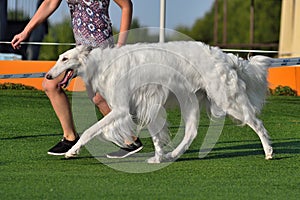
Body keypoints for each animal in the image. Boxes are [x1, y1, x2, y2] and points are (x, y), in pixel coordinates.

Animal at [47, 41, 274, 162]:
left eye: (65, 59)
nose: (48, 76)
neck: (102, 64)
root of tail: (227, 57)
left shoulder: (121, 109)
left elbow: (89, 131)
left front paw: (72, 151)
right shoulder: (147, 106)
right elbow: (157, 137)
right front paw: (158, 158)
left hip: (226, 99)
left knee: (257, 123)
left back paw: (269, 152)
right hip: (191, 102)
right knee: (191, 133)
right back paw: (173, 154)